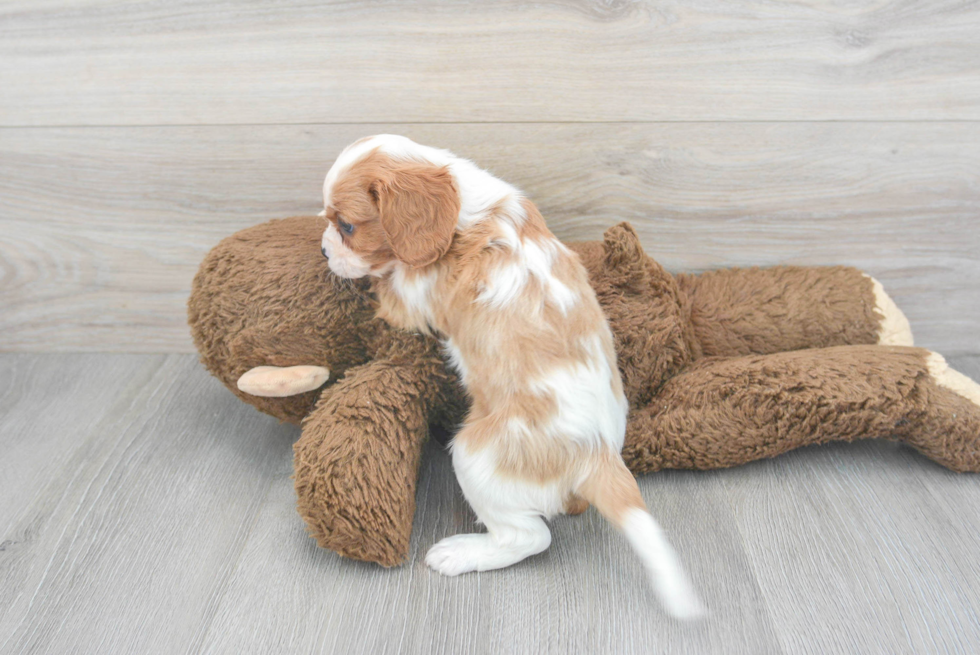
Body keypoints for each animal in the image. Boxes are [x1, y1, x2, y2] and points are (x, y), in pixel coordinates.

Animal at [318, 135, 700, 620]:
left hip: (474, 455)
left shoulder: (412, 296)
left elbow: (386, 286)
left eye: (347, 226)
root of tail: (598, 455)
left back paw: (461, 553)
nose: (324, 251)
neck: (469, 210)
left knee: (530, 537)